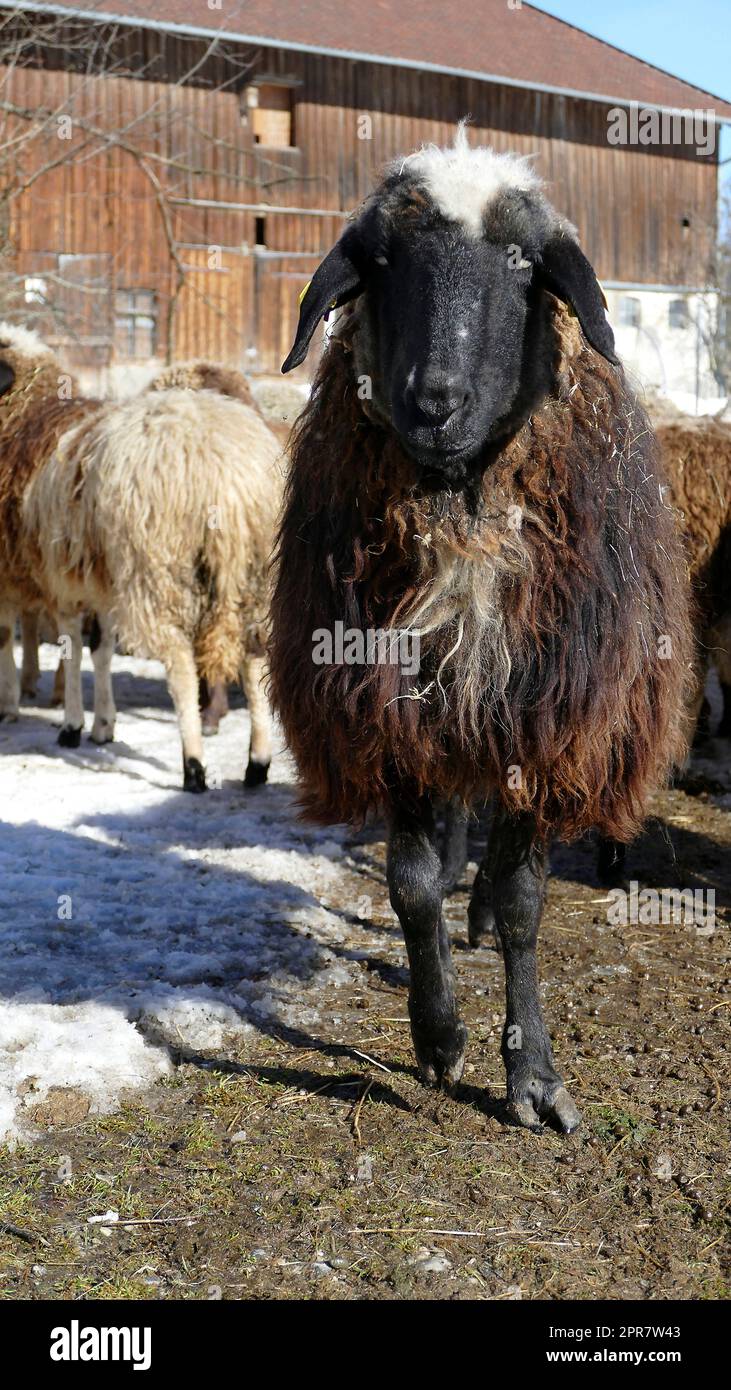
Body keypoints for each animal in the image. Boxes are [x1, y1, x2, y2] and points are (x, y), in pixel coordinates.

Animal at [0, 318, 282, 789]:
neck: (25, 414)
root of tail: (227, 473)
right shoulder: (98, 581)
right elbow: (101, 649)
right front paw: (103, 725)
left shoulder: (54, 580)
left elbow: (60, 646)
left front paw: (64, 723)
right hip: (255, 575)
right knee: (254, 657)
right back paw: (257, 763)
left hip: (158, 571)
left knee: (182, 665)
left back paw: (193, 765)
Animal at [269, 127, 694, 1128]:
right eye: (384, 262)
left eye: (518, 261)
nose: (433, 402)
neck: (459, 494)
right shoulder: (388, 711)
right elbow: (412, 884)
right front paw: (438, 1039)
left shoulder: (547, 722)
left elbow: (523, 899)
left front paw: (531, 1072)